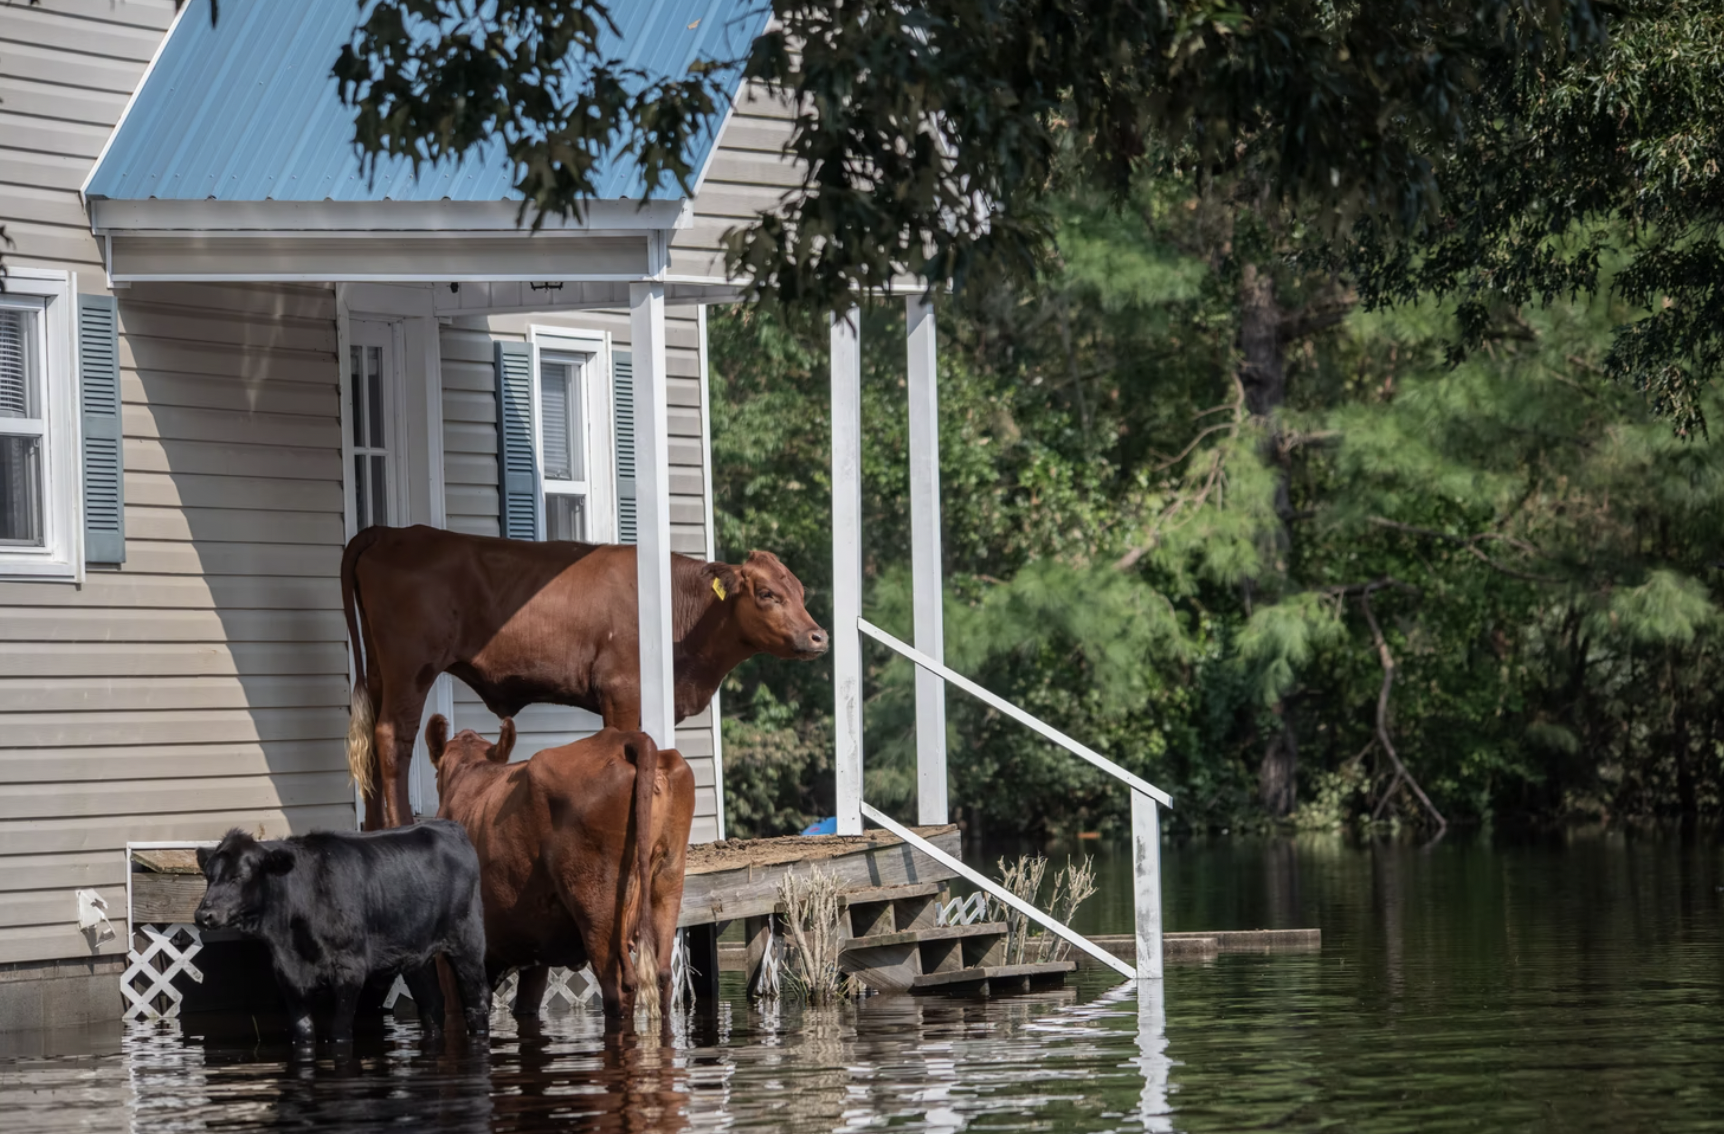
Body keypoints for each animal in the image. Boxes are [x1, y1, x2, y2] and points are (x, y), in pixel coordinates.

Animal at [195, 813, 493, 1040]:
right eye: (208, 876)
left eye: (238, 876)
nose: (203, 915)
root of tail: (448, 826)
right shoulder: (288, 976)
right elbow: (303, 1031)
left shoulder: (350, 969)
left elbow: (340, 1030)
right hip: (416, 955)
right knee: (431, 1005)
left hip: (467, 940)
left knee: (477, 1000)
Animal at [339, 523, 824, 827]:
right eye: (767, 593)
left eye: (801, 591)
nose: (819, 636)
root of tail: (394, 532)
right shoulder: (623, 691)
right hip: (410, 668)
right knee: (392, 737)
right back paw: (398, 825)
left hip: (380, 670)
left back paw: (372, 826)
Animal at [424, 716, 693, 1027]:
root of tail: (623, 739)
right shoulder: (534, 952)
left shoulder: (449, 956)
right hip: (666, 883)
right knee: (663, 977)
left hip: (598, 909)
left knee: (619, 988)